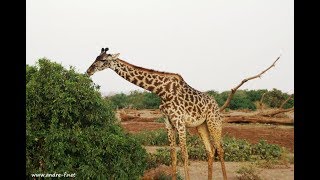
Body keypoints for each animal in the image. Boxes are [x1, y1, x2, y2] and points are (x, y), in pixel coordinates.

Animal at [85, 47, 228, 180]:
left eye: (103, 60)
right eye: (96, 57)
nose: (88, 71)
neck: (162, 92)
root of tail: (216, 104)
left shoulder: (180, 122)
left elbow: (184, 155)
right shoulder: (168, 122)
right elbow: (173, 155)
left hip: (214, 122)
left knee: (220, 149)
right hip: (201, 125)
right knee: (210, 151)